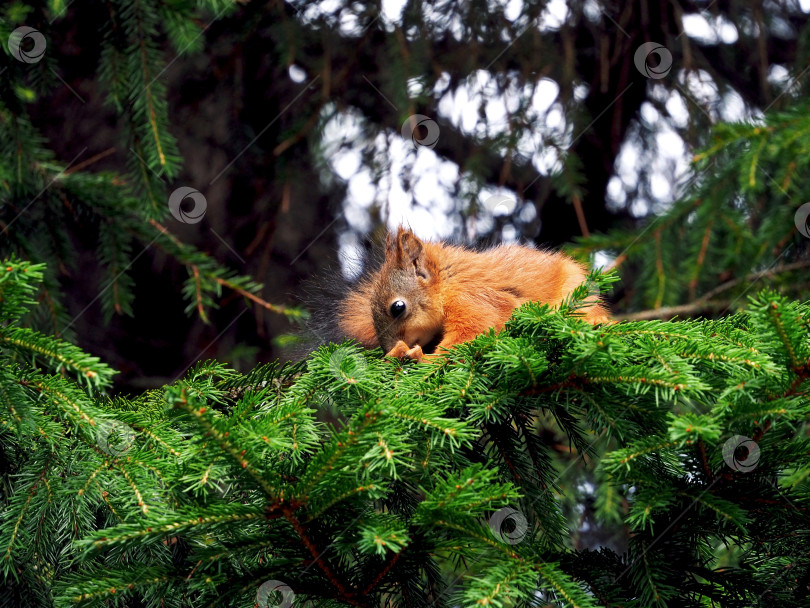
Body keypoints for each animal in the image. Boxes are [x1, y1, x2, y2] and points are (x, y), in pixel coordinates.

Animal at [334, 227, 608, 360]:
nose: (388, 348)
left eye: (398, 307)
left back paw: (596, 320)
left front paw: (422, 358)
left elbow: (473, 330)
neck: (447, 283)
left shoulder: (473, 300)